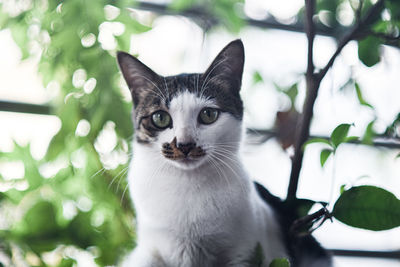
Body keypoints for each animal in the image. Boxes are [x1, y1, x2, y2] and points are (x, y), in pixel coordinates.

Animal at [116, 39, 332, 267]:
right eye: (160, 118)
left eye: (208, 114)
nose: (185, 144)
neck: (188, 184)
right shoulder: (148, 252)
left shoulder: (247, 253)